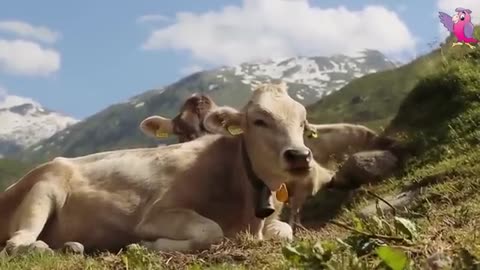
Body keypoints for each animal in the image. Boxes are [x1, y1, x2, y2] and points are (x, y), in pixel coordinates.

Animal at [0, 82, 322, 255]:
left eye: (303, 122)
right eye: (259, 120)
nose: (299, 156)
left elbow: (284, 231)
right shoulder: (156, 214)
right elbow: (210, 230)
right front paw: (145, 245)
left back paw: (71, 246)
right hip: (45, 187)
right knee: (17, 242)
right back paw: (42, 247)